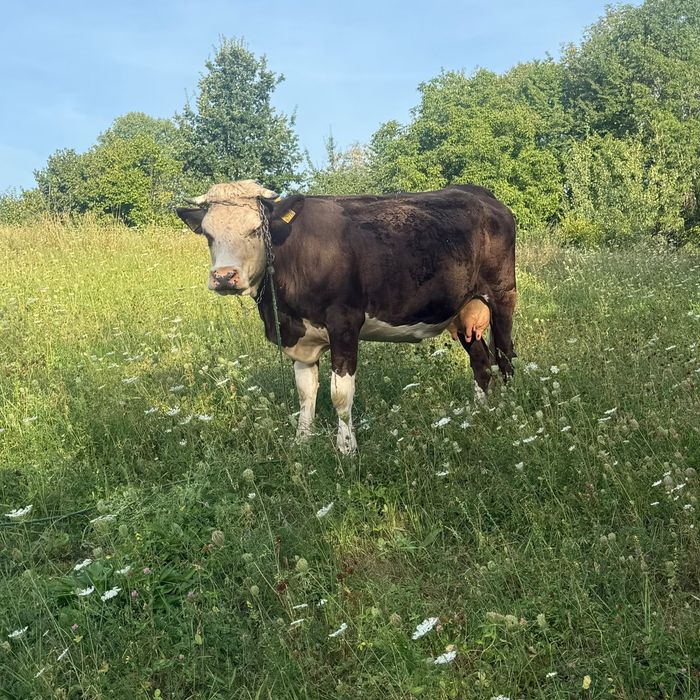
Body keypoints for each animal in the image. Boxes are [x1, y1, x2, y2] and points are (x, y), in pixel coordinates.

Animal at [177, 180, 516, 454]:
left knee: (504, 356)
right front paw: (302, 441)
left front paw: (346, 448)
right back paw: (479, 412)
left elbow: (340, 394)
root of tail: (479, 193)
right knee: (481, 361)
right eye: (208, 235)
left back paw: (515, 413)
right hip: (461, 311)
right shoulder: (299, 338)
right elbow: (305, 393)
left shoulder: (344, 324)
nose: (224, 276)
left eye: (256, 230)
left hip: (503, 295)